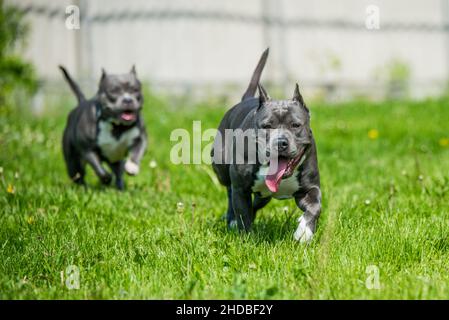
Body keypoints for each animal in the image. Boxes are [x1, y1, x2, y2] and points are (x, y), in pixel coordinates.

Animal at [212, 48, 320, 241]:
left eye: (296, 125)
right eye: (267, 126)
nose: (281, 142)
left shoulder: (310, 188)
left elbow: (315, 207)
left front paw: (304, 231)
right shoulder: (241, 189)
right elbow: (243, 216)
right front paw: (247, 239)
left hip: (264, 196)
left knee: (255, 203)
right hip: (222, 169)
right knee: (230, 192)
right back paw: (231, 220)